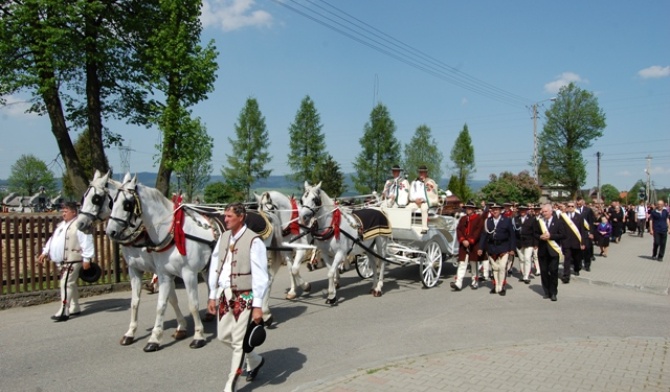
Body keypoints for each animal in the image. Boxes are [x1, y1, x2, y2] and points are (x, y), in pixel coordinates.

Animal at [75, 172, 194, 352]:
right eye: (83, 197)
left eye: (96, 198)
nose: (80, 223)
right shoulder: (136, 269)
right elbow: (136, 301)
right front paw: (130, 333)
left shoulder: (161, 268)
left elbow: (170, 298)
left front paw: (179, 327)